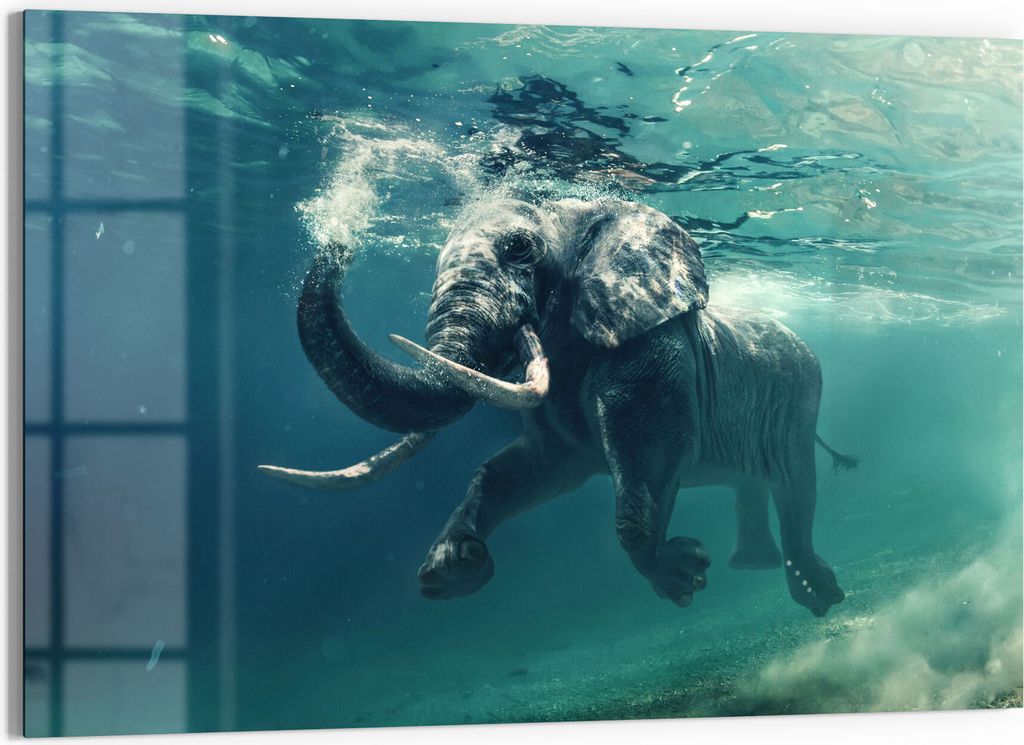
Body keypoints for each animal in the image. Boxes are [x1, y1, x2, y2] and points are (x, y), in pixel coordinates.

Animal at [261, 197, 857, 617]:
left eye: (521, 249)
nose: (338, 240)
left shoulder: (650, 352)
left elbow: (649, 458)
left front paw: (685, 577)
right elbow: (523, 470)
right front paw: (453, 568)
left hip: (801, 398)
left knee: (796, 486)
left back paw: (816, 595)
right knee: (754, 482)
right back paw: (753, 566)